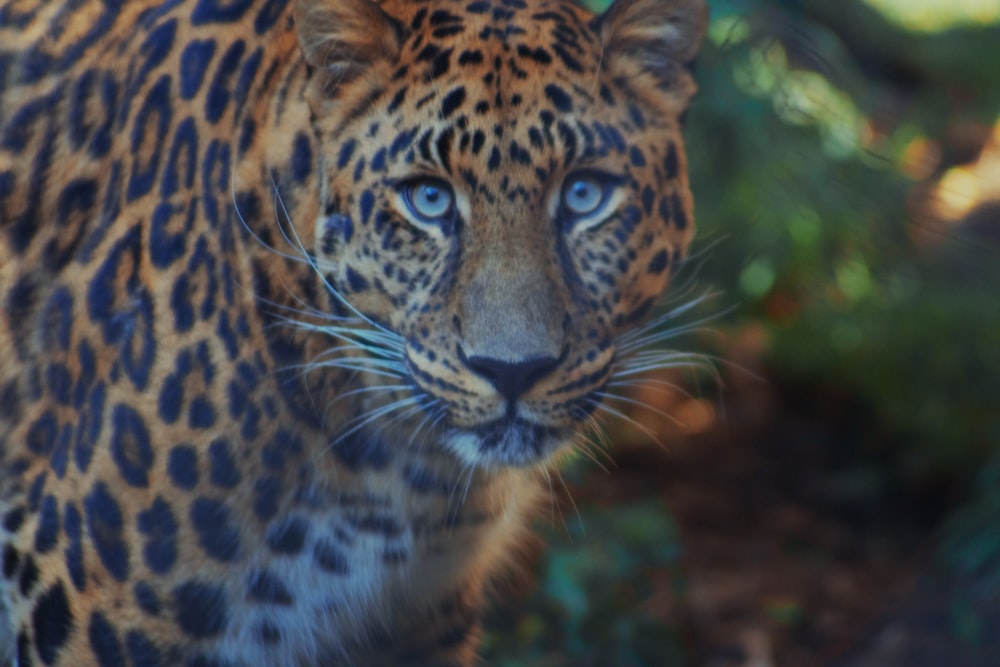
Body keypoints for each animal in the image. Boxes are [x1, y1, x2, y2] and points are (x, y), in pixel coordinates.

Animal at [0, 0, 708, 664]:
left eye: (586, 194)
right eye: (429, 199)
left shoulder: (420, 620)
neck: (400, 481)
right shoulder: (90, 606)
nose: (513, 370)